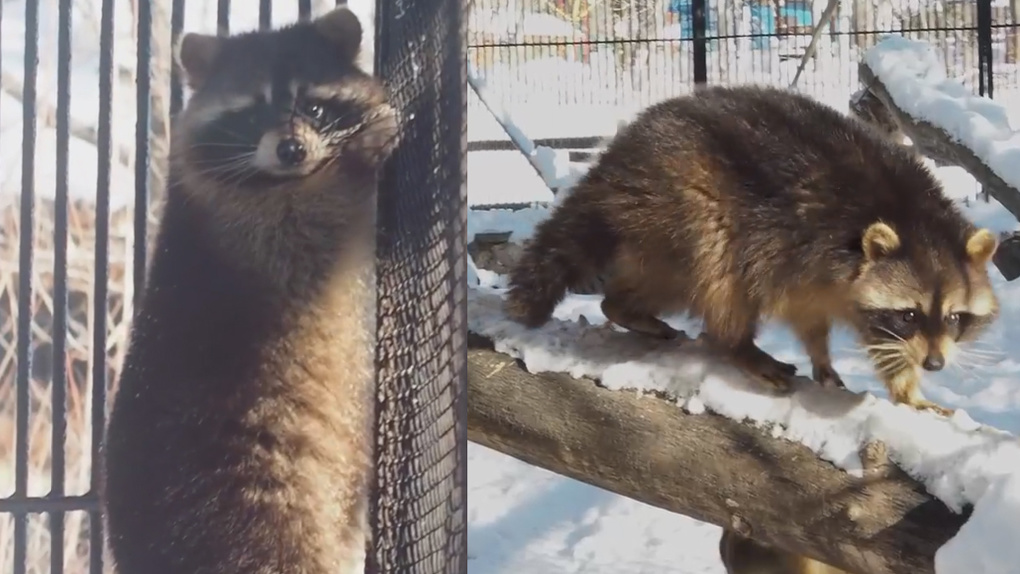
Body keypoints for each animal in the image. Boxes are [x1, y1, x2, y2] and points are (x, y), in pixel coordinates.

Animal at [101, 7, 397, 574]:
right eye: (252, 114)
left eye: (313, 105)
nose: (291, 149)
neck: (280, 178)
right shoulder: (248, 226)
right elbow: (317, 220)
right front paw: (357, 158)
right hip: (254, 504)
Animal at [505, 85, 999, 415]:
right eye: (909, 313)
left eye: (955, 317)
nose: (935, 364)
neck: (915, 220)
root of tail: (617, 159)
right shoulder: (804, 246)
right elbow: (842, 322)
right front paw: (901, 378)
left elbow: (815, 318)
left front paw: (896, 385)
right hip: (685, 202)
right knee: (721, 273)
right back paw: (737, 345)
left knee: (656, 281)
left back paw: (624, 306)